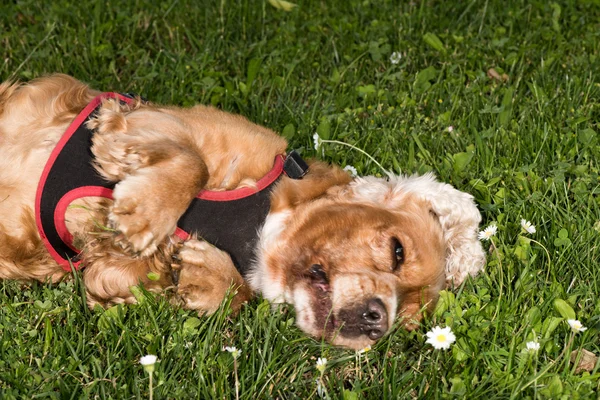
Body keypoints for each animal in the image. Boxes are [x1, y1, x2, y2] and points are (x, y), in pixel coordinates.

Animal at [0, 73, 488, 348]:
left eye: (407, 317)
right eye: (397, 252)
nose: (376, 321)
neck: (255, 227)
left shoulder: (104, 273)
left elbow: (211, 290)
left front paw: (205, 275)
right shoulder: (149, 119)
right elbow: (191, 163)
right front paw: (145, 212)